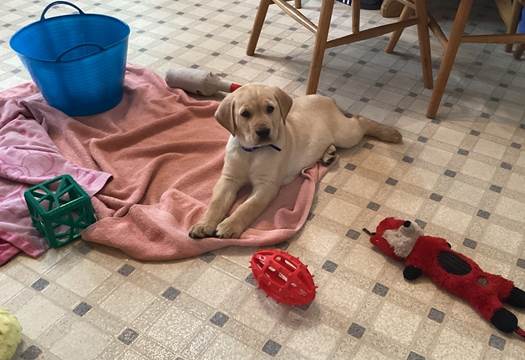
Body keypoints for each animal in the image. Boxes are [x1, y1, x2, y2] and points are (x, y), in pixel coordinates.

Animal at [189, 84, 402, 239]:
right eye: (245, 114)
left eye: (270, 109)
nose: (263, 131)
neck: (253, 152)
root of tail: (328, 99)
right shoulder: (229, 179)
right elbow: (216, 203)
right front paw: (203, 224)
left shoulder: (267, 186)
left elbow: (247, 207)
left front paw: (230, 225)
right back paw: (328, 154)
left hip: (347, 134)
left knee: (361, 121)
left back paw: (390, 133)